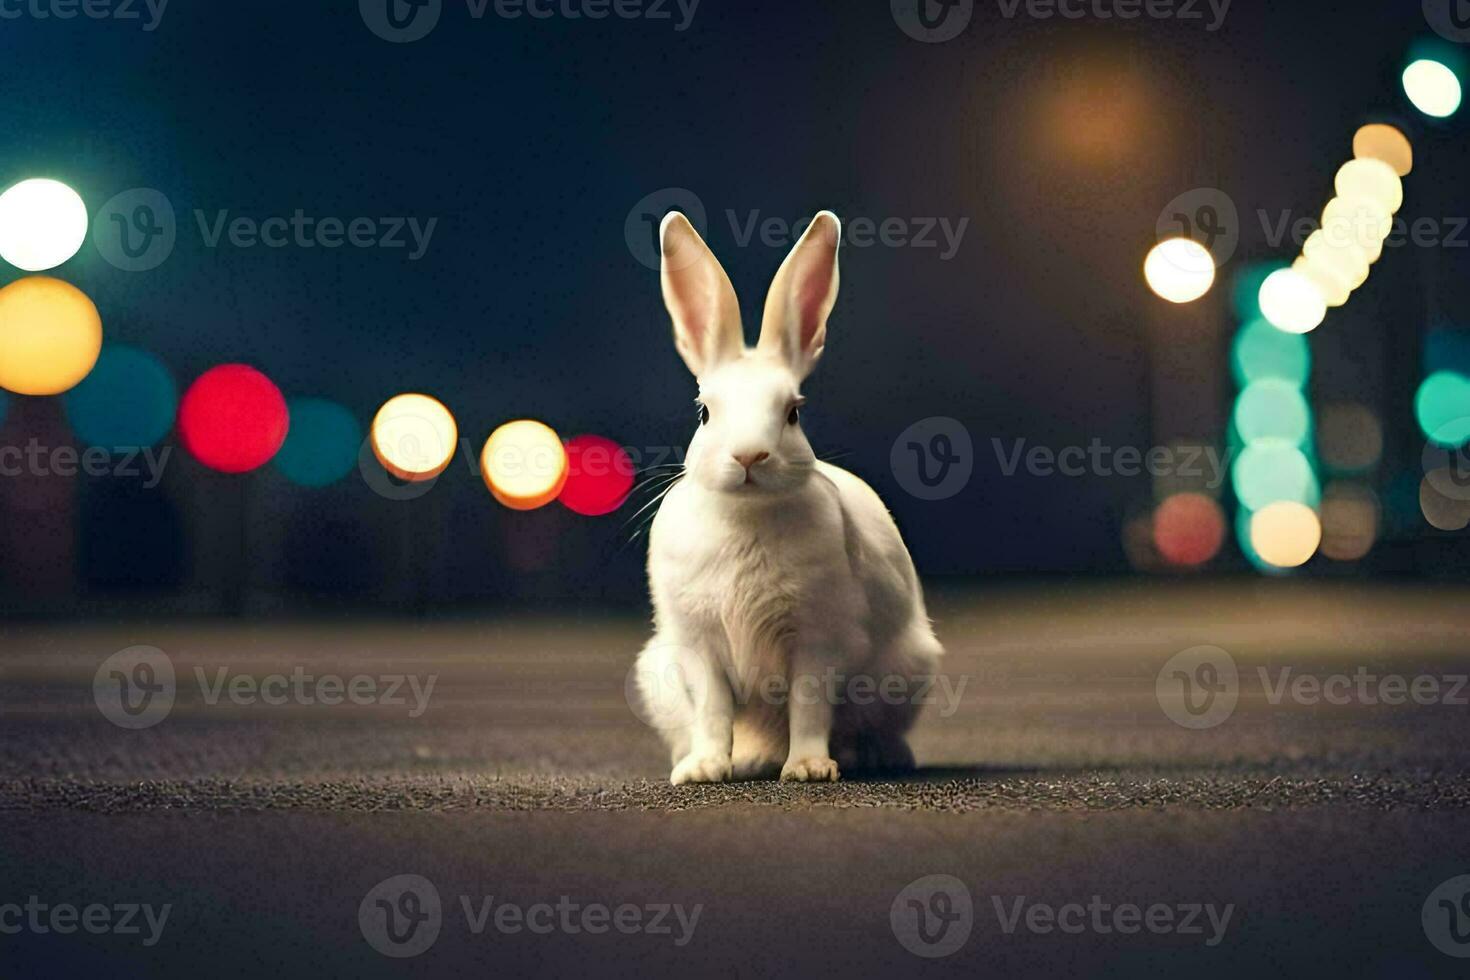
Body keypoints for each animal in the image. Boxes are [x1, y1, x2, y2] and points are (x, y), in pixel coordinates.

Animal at [637, 211, 946, 787]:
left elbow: (808, 707)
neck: (746, 514)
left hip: (906, 670)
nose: (749, 456)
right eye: (704, 412)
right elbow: (712, 711)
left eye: (793, 412)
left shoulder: (818, 639)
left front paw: (807, 769)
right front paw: (704, 769)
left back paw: (877, 756)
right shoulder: (699, 646)